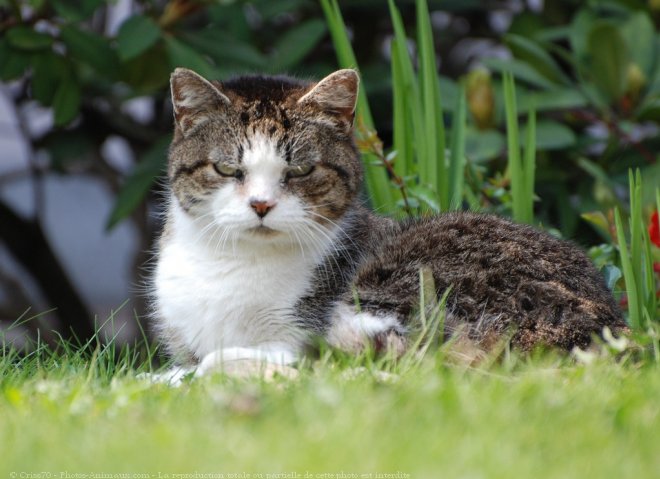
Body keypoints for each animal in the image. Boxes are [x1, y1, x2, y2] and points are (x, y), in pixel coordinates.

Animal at [152, 67, 628, 376]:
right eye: (227, 169)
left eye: (302, 171)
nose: (261, 204)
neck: (233, 262)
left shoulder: (302, 330)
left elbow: (288, 355)